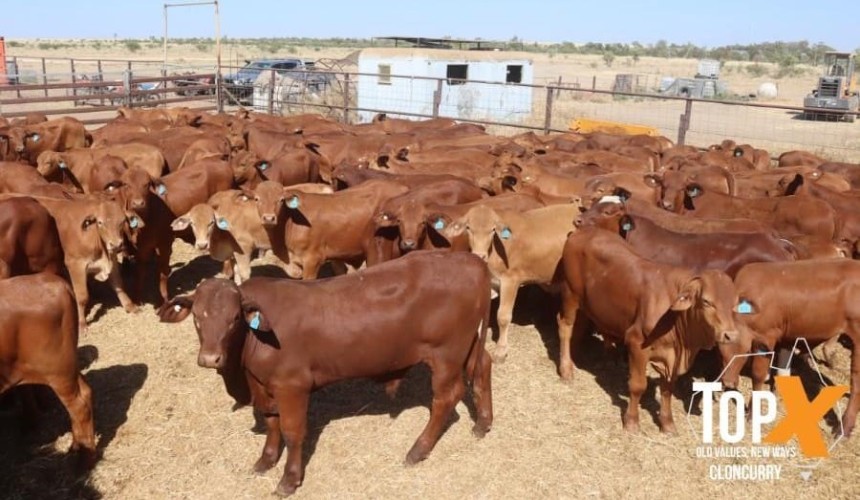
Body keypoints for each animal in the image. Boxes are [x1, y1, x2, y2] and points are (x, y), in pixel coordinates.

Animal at [0, 273, 96, 466]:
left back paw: (84, 460)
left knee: (78, 405)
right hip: (67, 368)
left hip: (58, 371)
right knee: (85, 392)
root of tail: (55, 282)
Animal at [158, 250, 493, 496]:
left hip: (446, 354)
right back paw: (483, 423)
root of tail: (471, 260)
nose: (210, 358)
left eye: (234, 319)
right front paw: (266, 460)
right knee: (483, 367)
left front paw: (289, 480)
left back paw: (417, 449)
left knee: (446, 398)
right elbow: (271, 423)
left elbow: (293, 432)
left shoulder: (292, 386)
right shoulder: (265, 386)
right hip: (467, 347)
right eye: (197, 317)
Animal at [555, 226, 743, 433]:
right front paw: (631, 421)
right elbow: (638, 385)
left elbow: (668, 389)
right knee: (565, 327)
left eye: (734, 304)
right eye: (707, 301)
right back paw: (566, 369)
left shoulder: (672, 357)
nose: (730, 335)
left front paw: (667, 423)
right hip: (569, 293)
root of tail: (581, 231)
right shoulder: (636, 343)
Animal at [730, 260, 860, 436]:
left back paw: (842, 429)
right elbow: (782, 369)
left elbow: (758, 374)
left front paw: (752, 415)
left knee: (856, 381)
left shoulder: (765, 336)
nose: (728, 382)